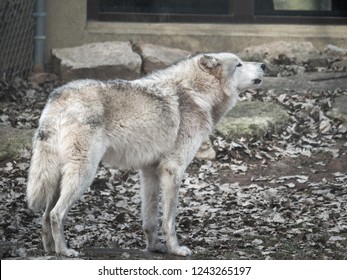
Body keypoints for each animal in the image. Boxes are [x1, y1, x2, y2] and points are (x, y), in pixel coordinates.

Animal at [27, 52, 266, 256]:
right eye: (239, 64)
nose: (264, 65)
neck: (197, 94)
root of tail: (59, 96)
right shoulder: (173, 169)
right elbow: (169, 219)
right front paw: (175, 249)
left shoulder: (149, 171)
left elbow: (150, 219)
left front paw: (154, 247)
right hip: (84, 174)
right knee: (56, 213)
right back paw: (64, 251)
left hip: (59, 177)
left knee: (46, 215)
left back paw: (49, 249)